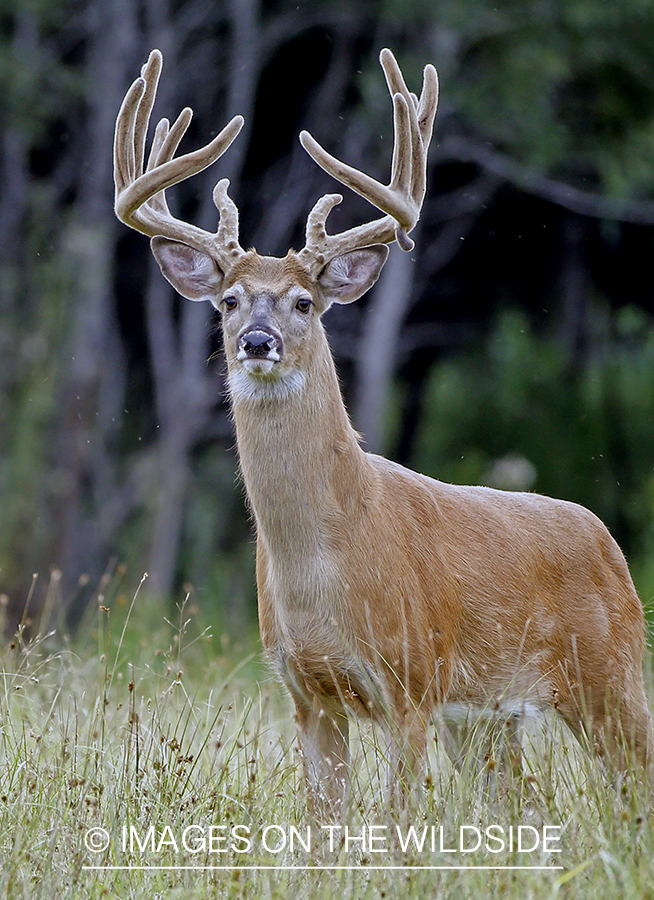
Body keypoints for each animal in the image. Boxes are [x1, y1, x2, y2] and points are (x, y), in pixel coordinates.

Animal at [115, 49, 652, 824]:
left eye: (304, 302)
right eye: (229, 300)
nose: (256, 342)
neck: (326, 559)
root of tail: (609, 543)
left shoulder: (413, 681)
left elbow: (398, 821)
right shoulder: (307, 694)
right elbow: (325, 826)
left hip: (610, 670)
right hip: (490, 718)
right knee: (522, 801)